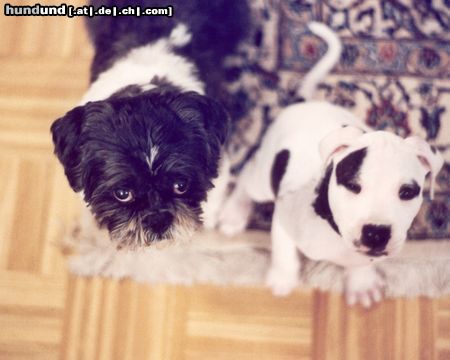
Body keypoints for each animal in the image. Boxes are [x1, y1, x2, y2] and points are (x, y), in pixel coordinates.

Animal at [220, 22, 444, 306]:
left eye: (407, 192)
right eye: (353, 185)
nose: (376, 233)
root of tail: (303, 105)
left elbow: (362, 263)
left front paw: (361, 283)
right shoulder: (284, 219)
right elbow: (284, 252)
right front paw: (282, 278)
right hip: (263, 176)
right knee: (248, 180)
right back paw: (233, 214)